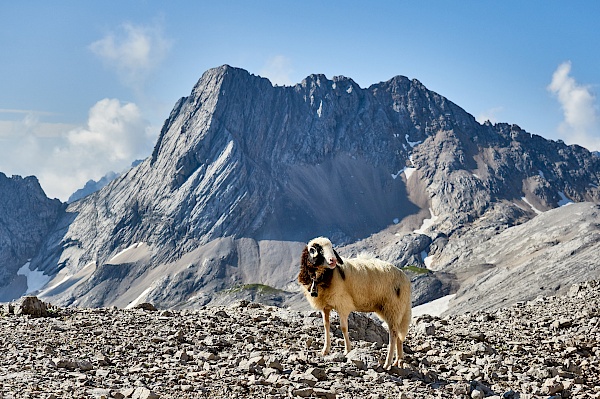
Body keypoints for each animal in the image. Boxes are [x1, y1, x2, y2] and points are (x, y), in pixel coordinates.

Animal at [298, 236, 410, 370]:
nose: (333, 260)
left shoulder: (342, 304)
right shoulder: (325, 306)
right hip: (396, 310)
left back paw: (387, 363)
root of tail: (405, 278)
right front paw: (325, 350)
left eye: (331, 248)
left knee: (393, 335)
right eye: (317, 250)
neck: (327, 275)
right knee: (399, 335)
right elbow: (326, 325)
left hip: (393, 308)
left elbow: (343, 327)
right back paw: (398, 361)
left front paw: (347, 350)